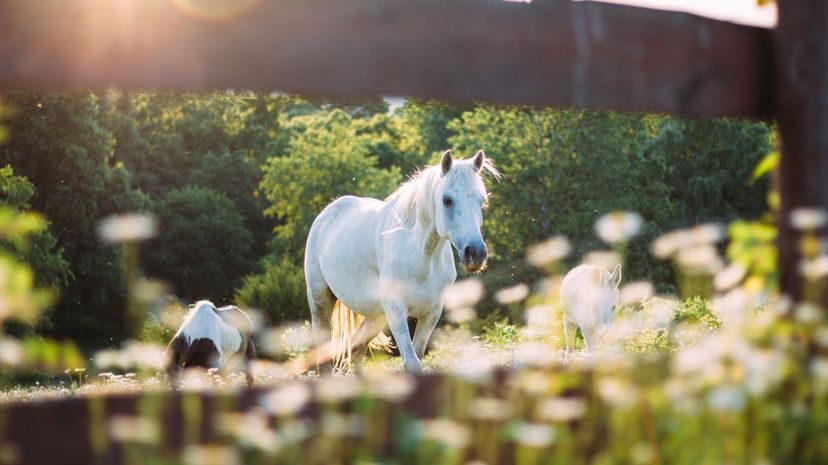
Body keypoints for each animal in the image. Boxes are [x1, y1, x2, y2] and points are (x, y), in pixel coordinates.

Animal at [304, 150, 498, 372]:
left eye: (481, 200)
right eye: (447, 199)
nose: (476, 253)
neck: (422, 258)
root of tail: (327, 213)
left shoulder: (431, 314)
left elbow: (418, 356)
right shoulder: (396, 311)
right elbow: (412, 362)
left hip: (376, 316)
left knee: (357, 349)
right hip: (320, 301)